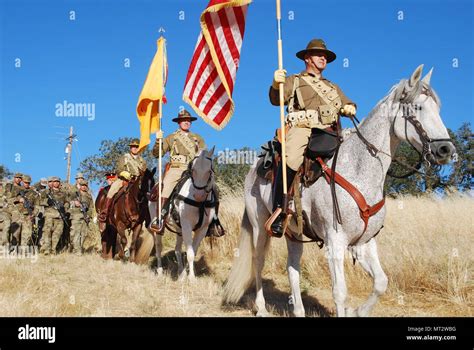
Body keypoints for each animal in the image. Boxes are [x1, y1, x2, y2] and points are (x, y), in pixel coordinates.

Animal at [147, 148, 218, 282]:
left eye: (209, 171)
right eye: (193, 169)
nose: (199, 195)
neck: (200, 203)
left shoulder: (202, 229)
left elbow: (193, 251)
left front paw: (186, 274)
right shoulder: (187, 226)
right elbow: (190, 253)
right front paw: (192, 278)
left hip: (179, 229)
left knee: (177, 249)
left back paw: (180, 273)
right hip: (158, 226)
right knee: (158, 247)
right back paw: (160, 271)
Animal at [224, 65, 458, 318]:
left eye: (438, 108)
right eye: (417, 107)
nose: (446, 149)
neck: (358, 167)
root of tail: (254, 167)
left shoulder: (364, 242)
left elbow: (381, 283)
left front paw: (356, 311)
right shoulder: (335, 242)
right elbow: (340, 292)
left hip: (293, 233)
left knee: (292, 268)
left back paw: (298, 310)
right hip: (260, 227)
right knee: (258, 262)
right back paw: (261, 308)